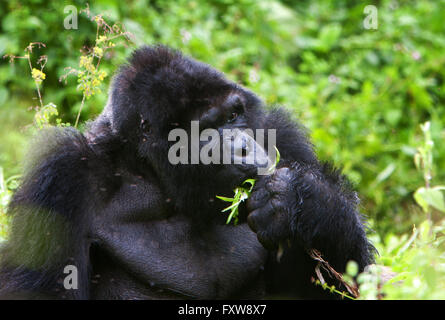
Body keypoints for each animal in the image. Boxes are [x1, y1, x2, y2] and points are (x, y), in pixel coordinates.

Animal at [0, 45, 374, 300]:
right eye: (206, 130)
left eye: (234, 115)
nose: (245, 147)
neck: (153, 175)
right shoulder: (62, 173)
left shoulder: (280, 136)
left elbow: (344, 281)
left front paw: (304, 202)